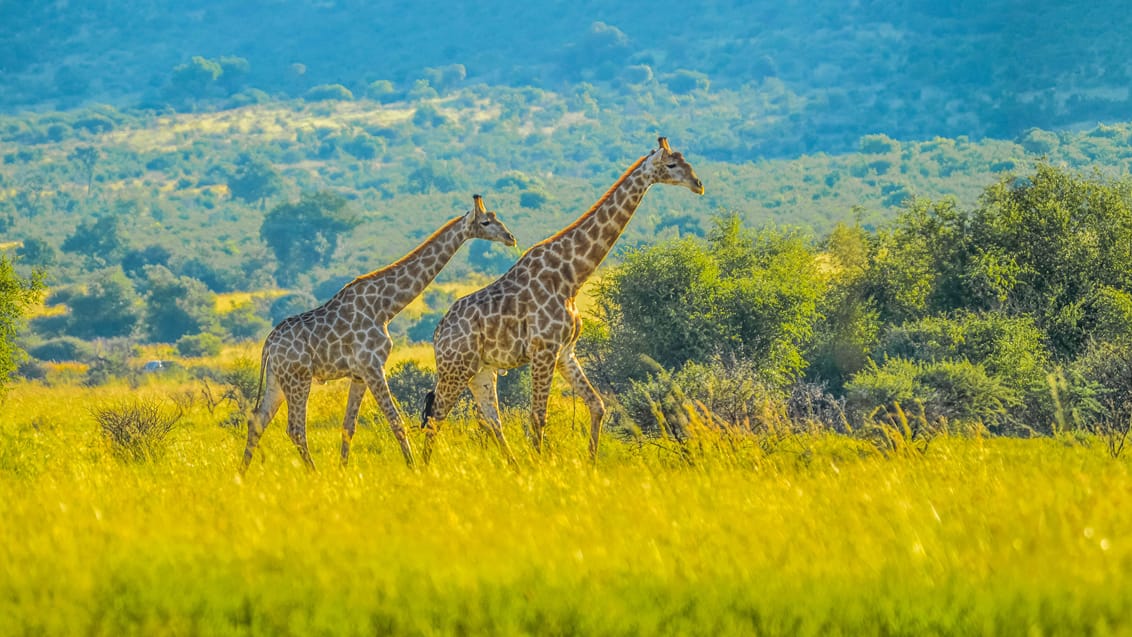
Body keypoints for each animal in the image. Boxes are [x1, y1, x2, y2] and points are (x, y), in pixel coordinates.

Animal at [245, 195, 518, 472]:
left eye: (496, 217)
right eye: (485, 222)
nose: (510, 237)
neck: (384, 308)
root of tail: (268, 344)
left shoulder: (359, 375)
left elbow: (348, 426)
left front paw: (343, 470)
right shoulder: (373, 367)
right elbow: (396, 420)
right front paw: (413, 468)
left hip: (278, 379)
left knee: (258, 420)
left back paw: (243, 473)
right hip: (298, 378)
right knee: (295, 428)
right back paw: (314, 473)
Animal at [421, 138, 701, 463]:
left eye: (686, 160)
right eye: (671, 164)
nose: (698, 184)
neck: (571, 276)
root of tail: (437, 335)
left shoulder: (566, 350)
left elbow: (597, 405)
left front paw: (591, 462)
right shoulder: (544, 350)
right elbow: (537, 416)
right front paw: (541, 465)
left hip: (480, 371)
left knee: (490, 419)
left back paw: (512, 466)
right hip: (456, 368)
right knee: (436, 417)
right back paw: (425, 468)